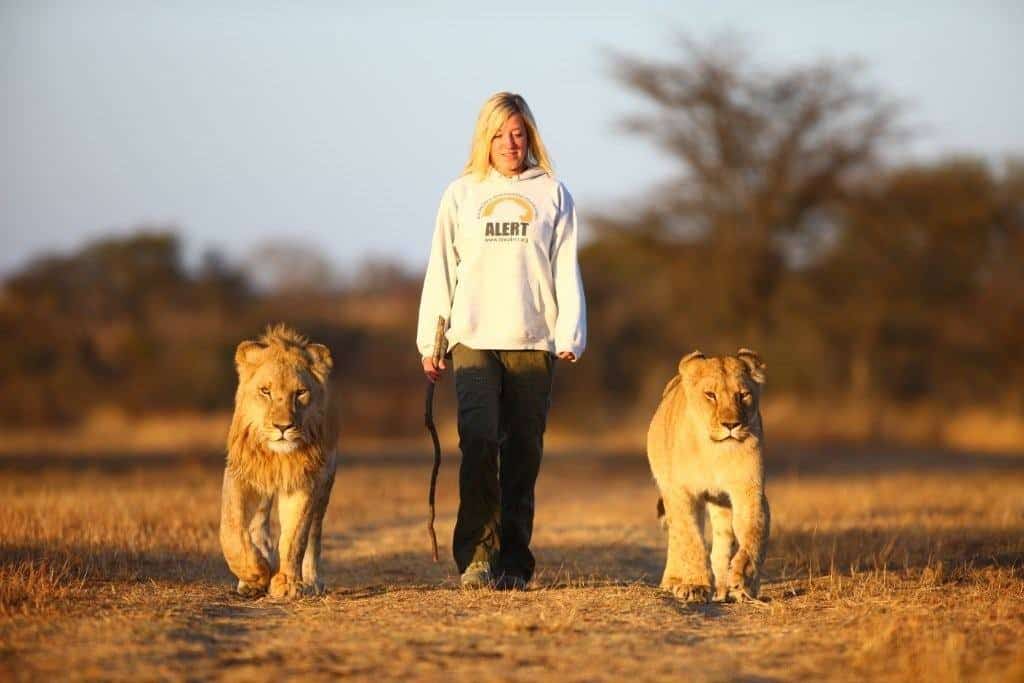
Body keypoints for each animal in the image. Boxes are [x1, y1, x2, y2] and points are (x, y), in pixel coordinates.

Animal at [220, 324, 337, 599]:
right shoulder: (241, 474)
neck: (275, 456)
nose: (283, 427)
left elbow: (295, 538)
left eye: (300, 393)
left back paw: (312, 580)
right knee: (258, 524)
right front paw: (255, 573)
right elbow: (231, 529)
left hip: (325, 484)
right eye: (266, 391)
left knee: (314, 534)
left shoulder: (303, 481)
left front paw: (287, 583)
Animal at [647, 349, 770, 603]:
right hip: (668, 489)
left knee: (723, 538)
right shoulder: (682, 492)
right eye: (710, 395)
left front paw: (743, 579)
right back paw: (673, 580)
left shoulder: (749, 489)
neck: (716, 451)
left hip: (720, 501)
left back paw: (724, 588)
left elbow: (754, 533)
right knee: (676, 535)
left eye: (743, 395)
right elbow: (691, 539)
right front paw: (696, 585)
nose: (731, 425)